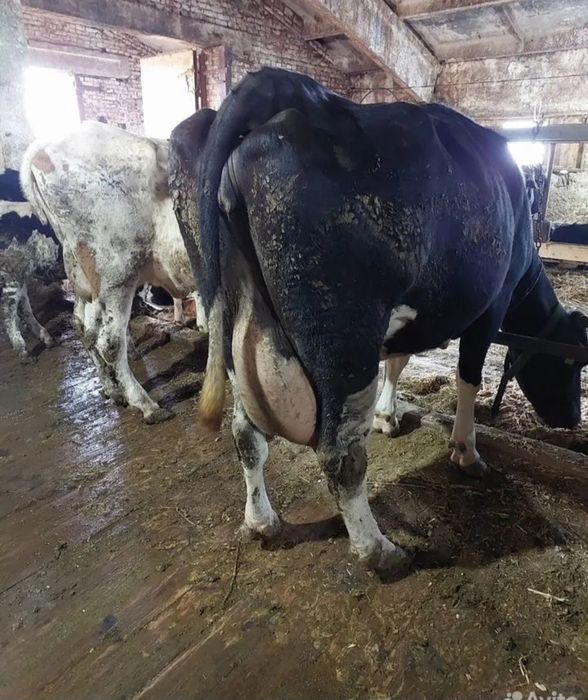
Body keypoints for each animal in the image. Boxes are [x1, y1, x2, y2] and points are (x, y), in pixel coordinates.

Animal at [0, 168, 59, 360]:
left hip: (19, 272)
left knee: (23, 305)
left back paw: (45, 337)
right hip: (10, 270)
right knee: (9, 310)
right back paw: (23, 351)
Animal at [20, 121, 205, 423]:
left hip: (85, 280)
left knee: (84, 327)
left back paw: (112, 389)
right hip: (117, 274)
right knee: (109, 341)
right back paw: (145, 404)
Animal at [171, 68, 587, 573]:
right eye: (571, 363)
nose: (571, 419)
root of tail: (279, 85)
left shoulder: (410, 314)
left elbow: (398, 360)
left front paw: (388, 416)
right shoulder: (490, 306)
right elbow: (468, 377)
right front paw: (466, 450)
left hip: (234, 327)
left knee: (246, 434)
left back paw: (262, 521)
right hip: (343, 337)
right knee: (340, 454)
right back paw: (378, 549)